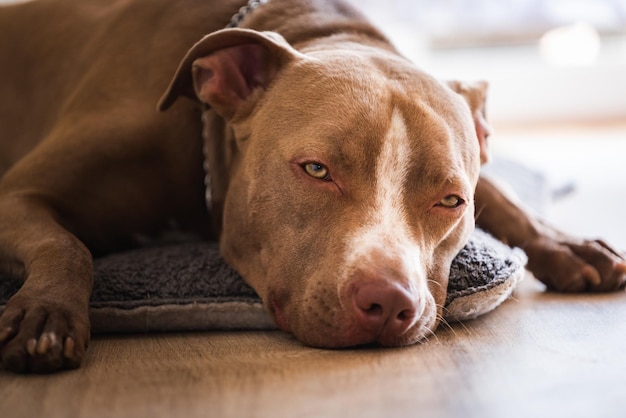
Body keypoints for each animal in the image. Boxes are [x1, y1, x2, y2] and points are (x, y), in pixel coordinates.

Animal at [1, 0, 624, 372]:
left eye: (452, 201)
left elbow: (505, 194)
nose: (388, 301)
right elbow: (67, 245)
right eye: (316, 170)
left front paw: (568, 246)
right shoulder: (16, 195)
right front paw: (48, 313)